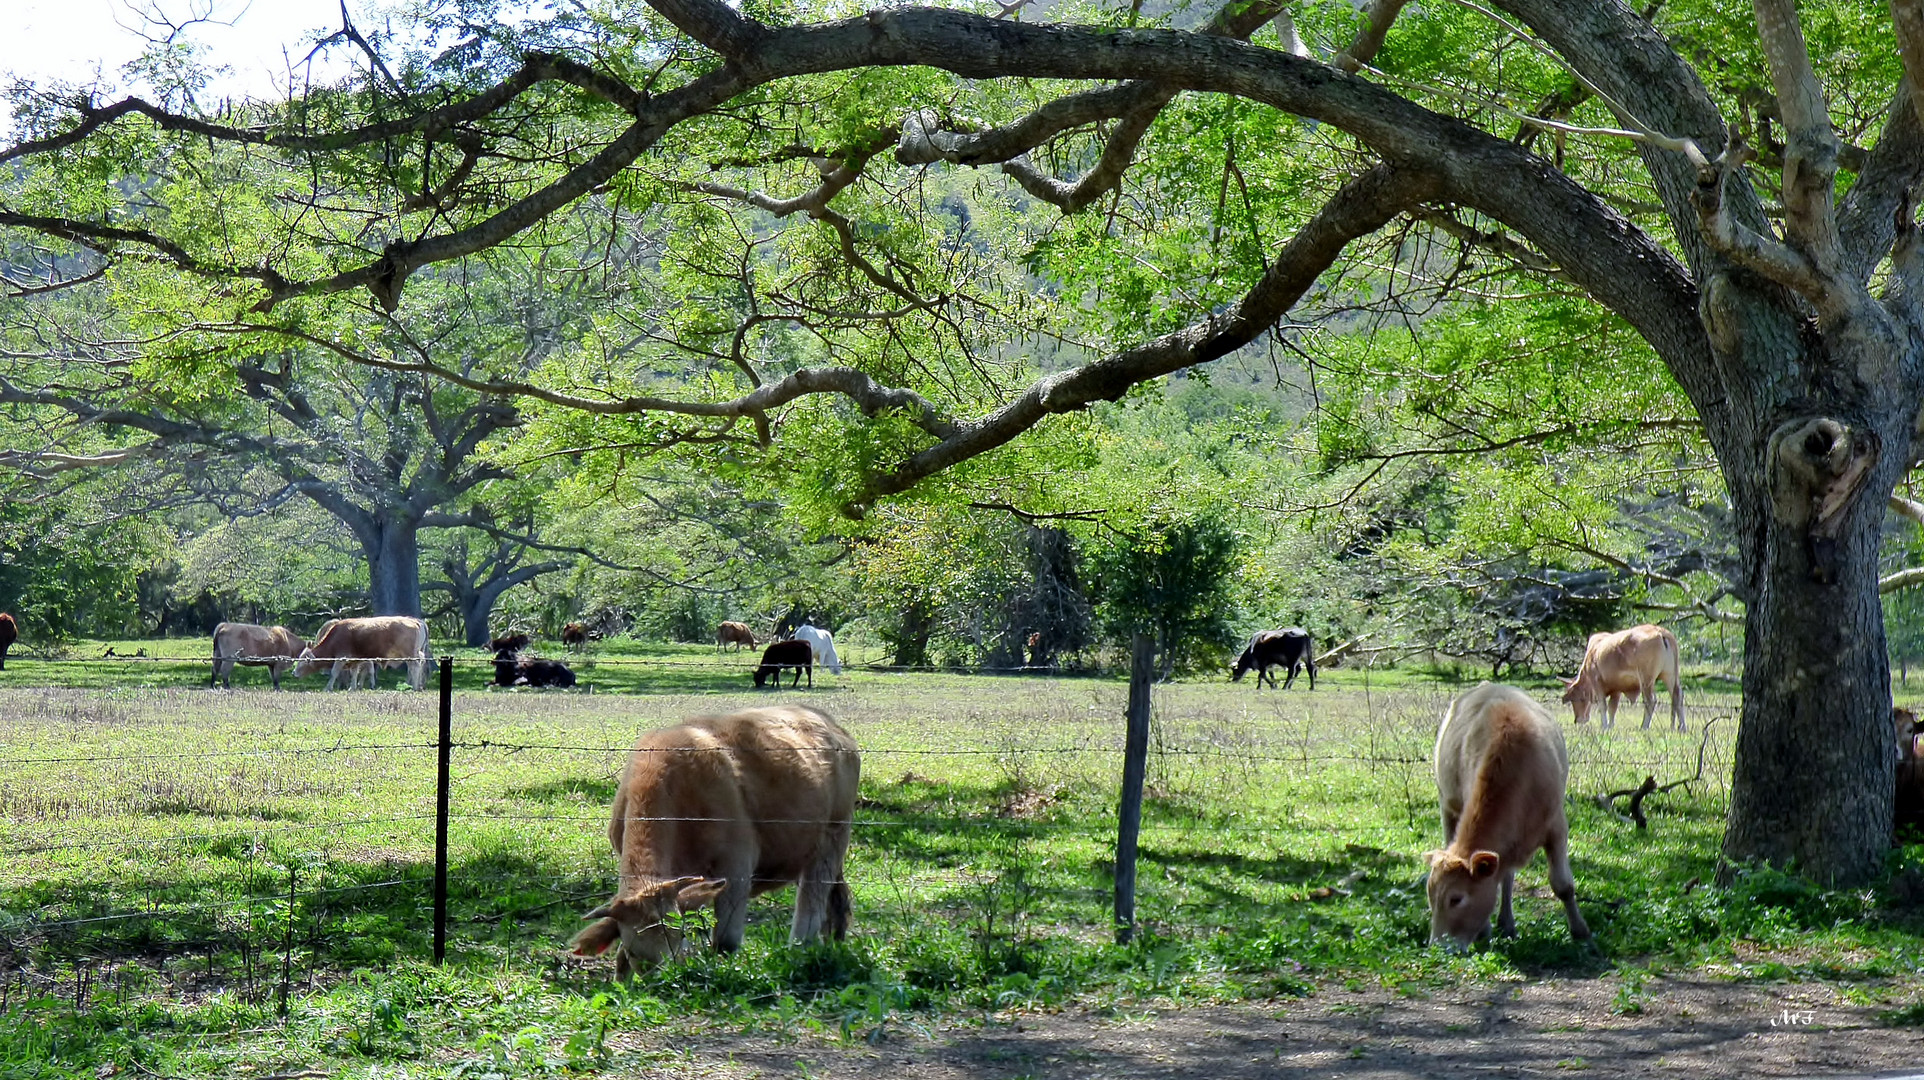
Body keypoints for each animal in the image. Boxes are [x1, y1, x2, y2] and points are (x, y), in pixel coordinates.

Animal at [292, 616, 429, 689]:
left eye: (303, 660)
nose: (294, 673)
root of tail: (415, 621)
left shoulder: (341, 657)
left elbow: (334, 673)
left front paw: (328, 688)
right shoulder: (355, 660)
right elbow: (354, 673)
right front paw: (352, 688)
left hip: (410, 655)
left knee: (415, 667)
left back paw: (414, 687)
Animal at [565, 704, 861, 981]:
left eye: (680, 937)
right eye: (634, 951)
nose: (663, 981)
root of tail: (828, 723)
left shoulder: (737, 866)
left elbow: (725, 942)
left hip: (833, 837)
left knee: (812, 904)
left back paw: (799, 950)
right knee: (836, 899)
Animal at [1423, 685, 1585, 947]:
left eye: (1456, 899)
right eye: (1431, 896)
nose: (1437, 946)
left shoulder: (1557, 826)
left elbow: (1563, 885)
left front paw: (1581, 931)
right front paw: (1484, 930)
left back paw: (1507, 922)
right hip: (1446, 806)